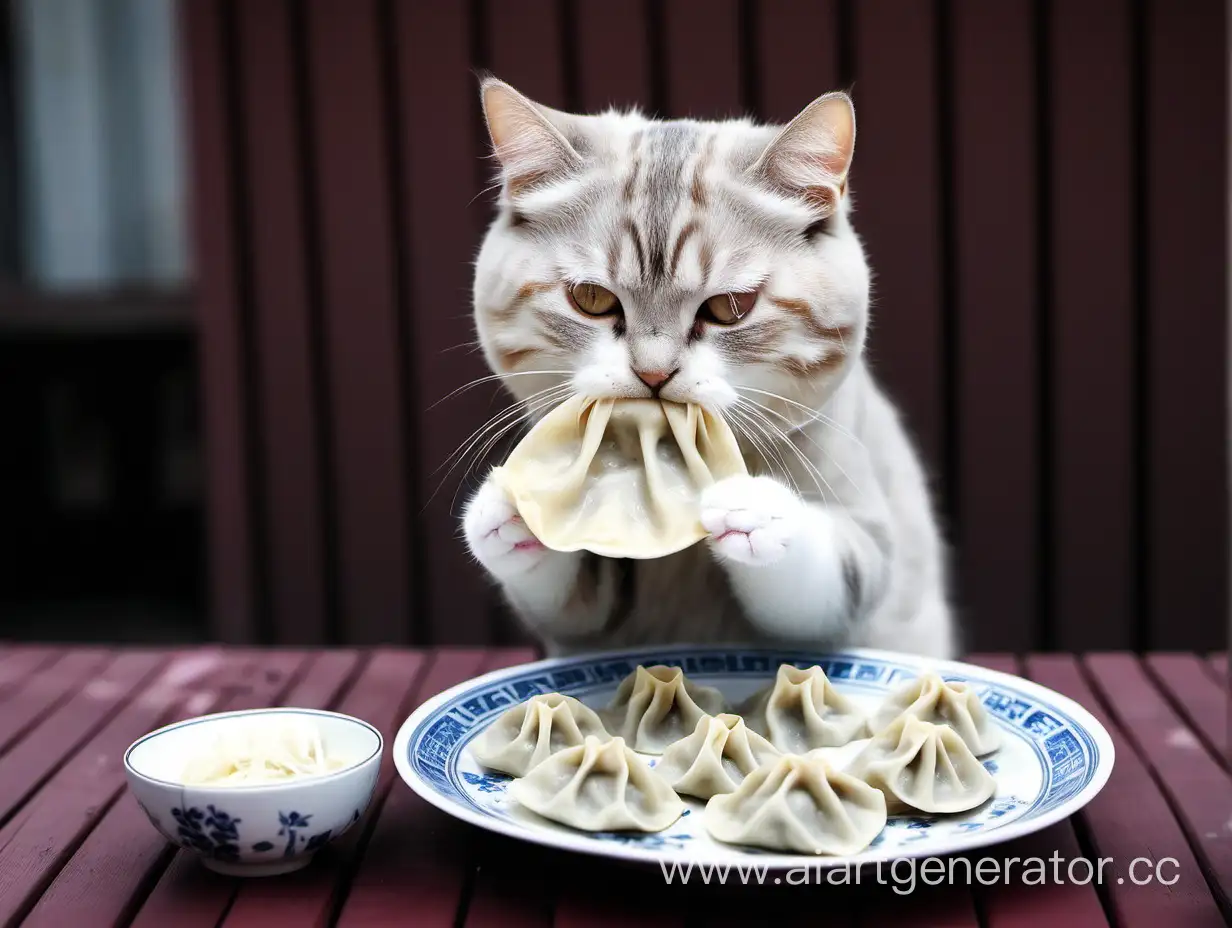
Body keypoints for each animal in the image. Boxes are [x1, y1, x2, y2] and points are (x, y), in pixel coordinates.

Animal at [463, 77, 951, 660]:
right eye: (591, 299)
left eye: (730, 308)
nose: (653, 374)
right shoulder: (583, 618)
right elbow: (567, 588)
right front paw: (512, 507)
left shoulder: (865, 546)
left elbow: (827, 577)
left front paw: (754, 508)